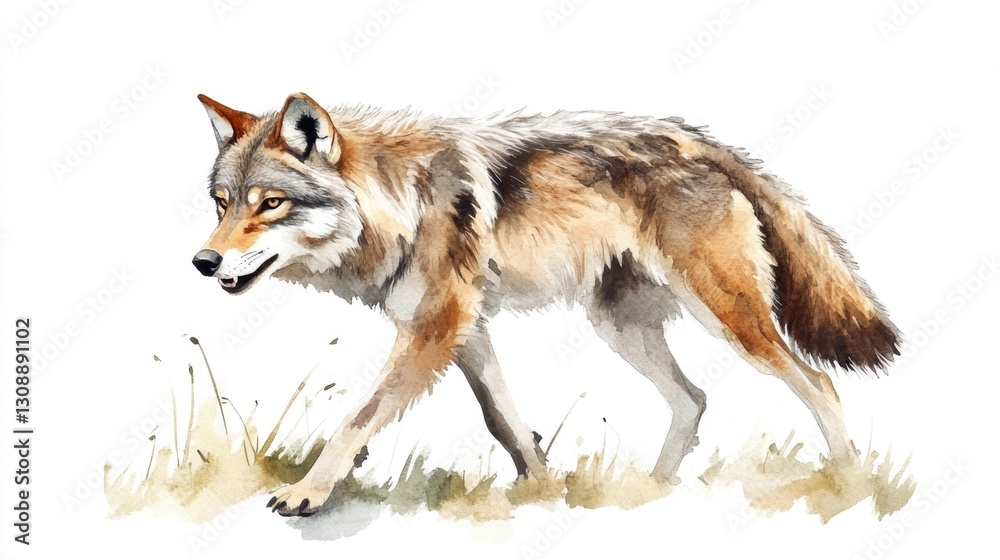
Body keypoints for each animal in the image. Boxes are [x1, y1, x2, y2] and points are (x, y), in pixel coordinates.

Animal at [193, 92, 899, 516]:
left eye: (270, 204)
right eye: (222, 205)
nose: (203, 263)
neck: (400, 201)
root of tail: (708, 144)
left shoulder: (435, 328)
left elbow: (356, 420)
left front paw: (305, 493)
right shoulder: (467, 330)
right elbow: (504, 419)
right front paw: (544, 489)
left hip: (729, 319)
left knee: (817, 384)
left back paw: (849, 486)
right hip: (621, 328)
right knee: (693, 400)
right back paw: (647, 491)